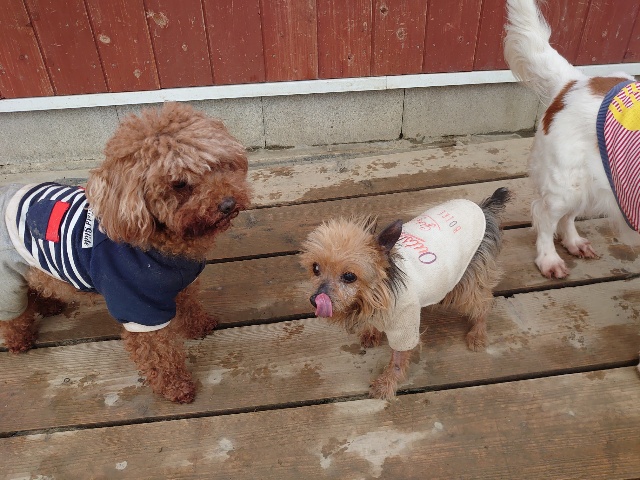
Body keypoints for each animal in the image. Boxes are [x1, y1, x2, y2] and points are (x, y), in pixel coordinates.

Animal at [0, 102, 250, 403]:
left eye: (217, 165)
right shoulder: (137, 308)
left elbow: (190, 308)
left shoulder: (181, 286)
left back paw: (49, 306)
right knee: (10, 316)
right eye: (179, 183)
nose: (228, 203)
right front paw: (176, 387)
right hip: (6, 282)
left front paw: (198, 326)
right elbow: (158, 353)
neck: (163, 245)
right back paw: (18, 341)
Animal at [300, 187, 511, 399]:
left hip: (469, 278)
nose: (315, 300)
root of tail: (484, 208)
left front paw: (386, 383)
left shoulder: (404, 323)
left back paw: (478, 334)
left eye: (349, 276)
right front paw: (372, 332)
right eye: (315, 268)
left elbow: (398, 358)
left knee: (483, 303)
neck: (376, 292)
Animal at [504, 0, 640, 280]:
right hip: (566, 182)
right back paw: (549, 259)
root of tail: (575, 81)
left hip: (594, 179)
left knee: (568, 216)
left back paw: (574, 243)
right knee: (545, 217)